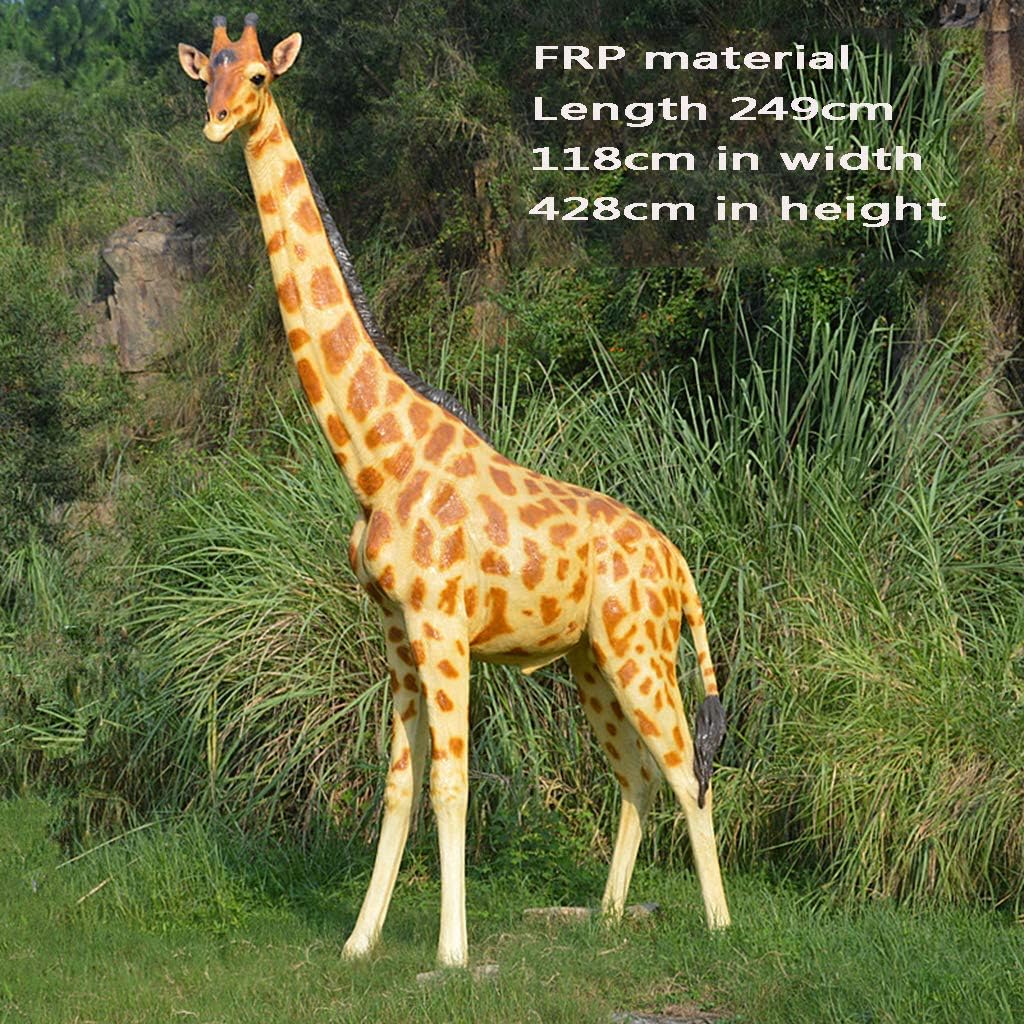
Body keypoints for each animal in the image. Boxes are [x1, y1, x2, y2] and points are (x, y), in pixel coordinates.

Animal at [178, 14, 731, 968]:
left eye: (256, 76)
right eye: (201, 74)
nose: (216, 123)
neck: (373, 462)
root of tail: (681, 569)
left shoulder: (442, 629)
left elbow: (451, 784)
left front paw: (450, 954)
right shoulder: (397, 634)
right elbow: (398, 787)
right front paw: (359, 943)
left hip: (640, 649)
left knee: (687, 770)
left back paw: (721, 928)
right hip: (591, 661)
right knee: (637, 776)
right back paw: (608, 916)